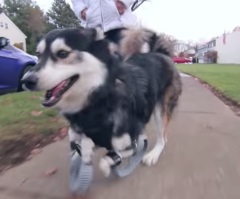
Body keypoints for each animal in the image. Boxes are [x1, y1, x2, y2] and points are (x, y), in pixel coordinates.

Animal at [22, 26, 182, 177]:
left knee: (163, 138)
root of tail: (160, 53)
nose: (26, 81)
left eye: (62, 53)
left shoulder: (130, 143)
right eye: (38, 55)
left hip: (161, 110)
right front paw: (86, 149)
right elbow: (81, 141)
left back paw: (153, 154)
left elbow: (108, 159)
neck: (97, 101)